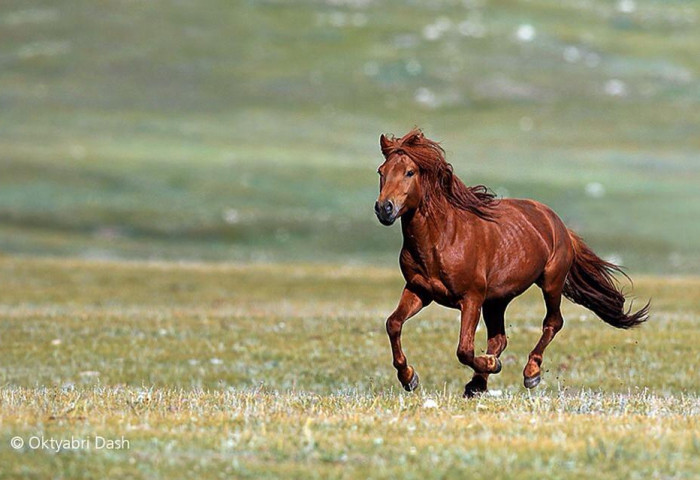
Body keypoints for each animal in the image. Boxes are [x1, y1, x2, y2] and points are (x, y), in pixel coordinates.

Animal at [374, 127, 648, 398]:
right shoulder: (419, 291)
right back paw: (477, 384)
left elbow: (464, 349)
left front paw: (492, 365)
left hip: (550, 283)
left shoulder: (471, 298)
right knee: (499, 339)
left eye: (410, 172)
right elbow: (393, 324)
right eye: (381, 171)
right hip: (496, 300)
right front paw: (409, 377)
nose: (384, 208)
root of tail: (557, 222)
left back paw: (530, 373)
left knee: (552, 322)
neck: (440, 239)